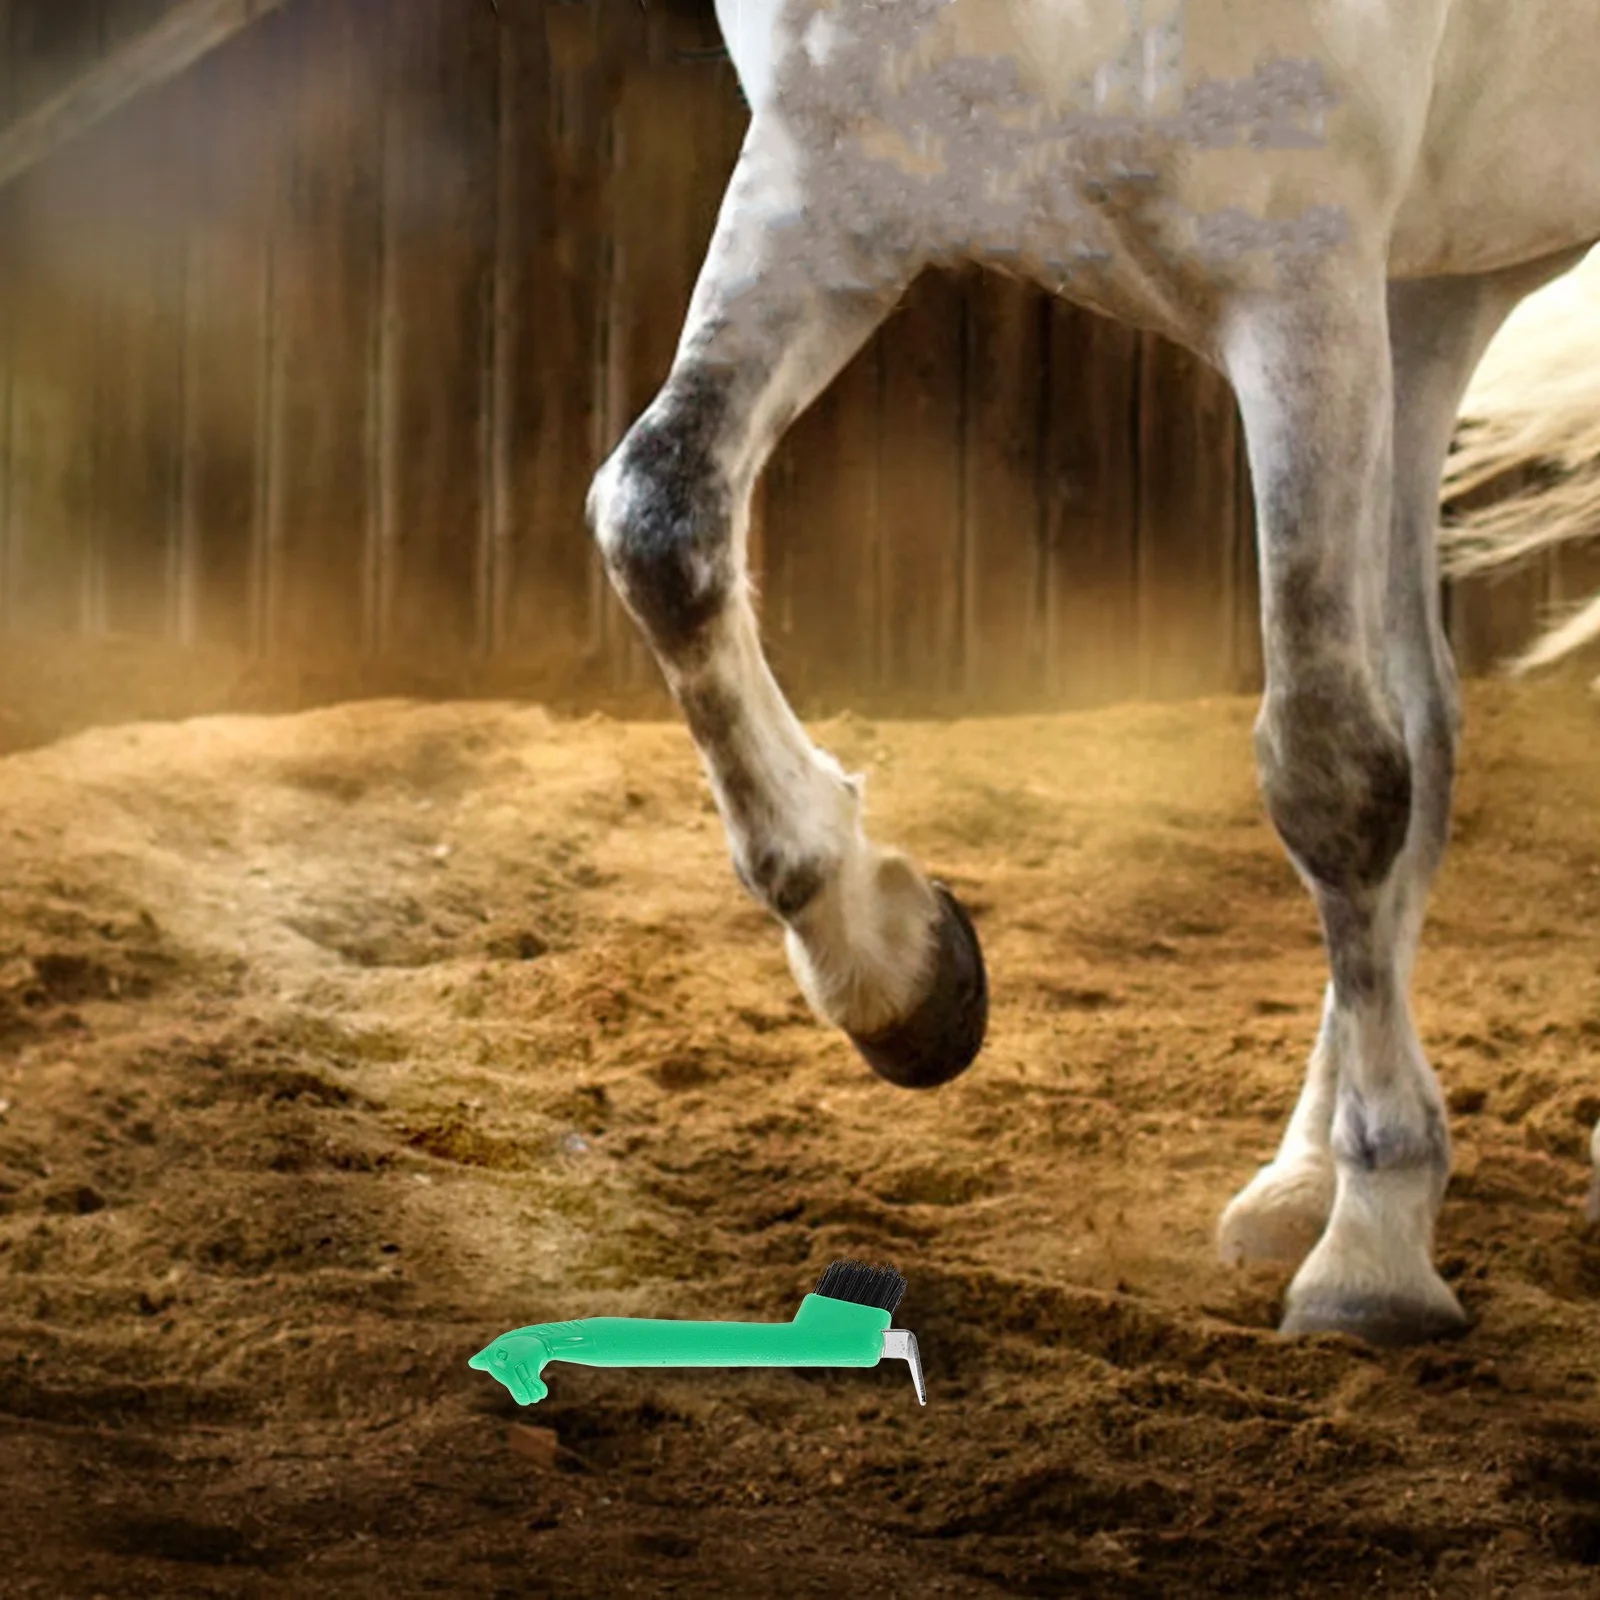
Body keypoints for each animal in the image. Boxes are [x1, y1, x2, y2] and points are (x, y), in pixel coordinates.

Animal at [585, 0, 1600, 1347]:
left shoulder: (1298, 277)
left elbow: (1330, 769)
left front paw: (1374, 1253)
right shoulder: (830, 183)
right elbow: (658, 520)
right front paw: (903, 971)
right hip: (1427, 295)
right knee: (1424, 720)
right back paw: (1297, 1177)